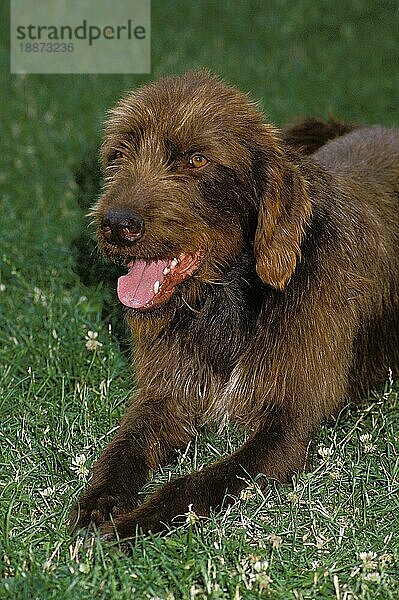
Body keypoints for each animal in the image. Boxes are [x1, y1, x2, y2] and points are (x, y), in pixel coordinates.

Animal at [70, 70, 399, 540]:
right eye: (120, 153)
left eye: (196, 160)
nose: (116, 224)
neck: (230, 297)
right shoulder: (165, 396)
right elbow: (123, 447)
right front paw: (100, 501)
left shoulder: (285, 430)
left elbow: (192, 484)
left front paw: (132, 525)